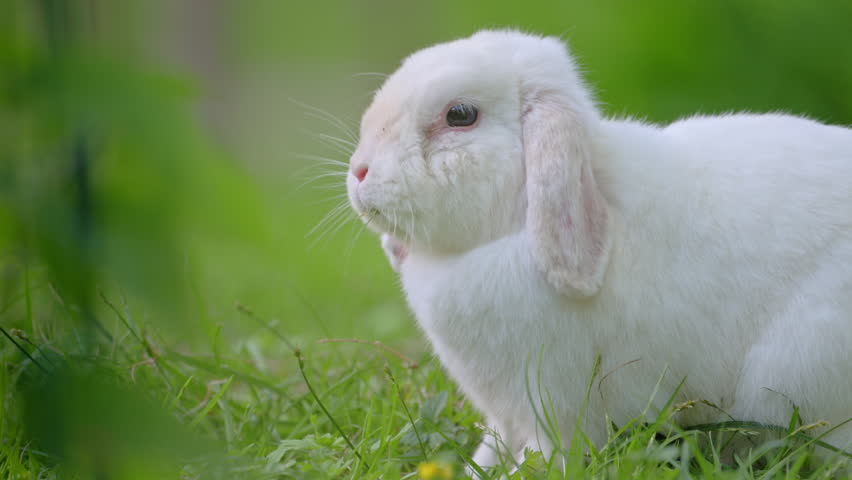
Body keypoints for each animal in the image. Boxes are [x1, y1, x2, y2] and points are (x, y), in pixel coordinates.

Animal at [345, 29, 852, 471]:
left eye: (461, 115)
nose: (359, 172)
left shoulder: (557, 410)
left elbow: (546, 459)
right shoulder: (505, 416)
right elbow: (490, 451)